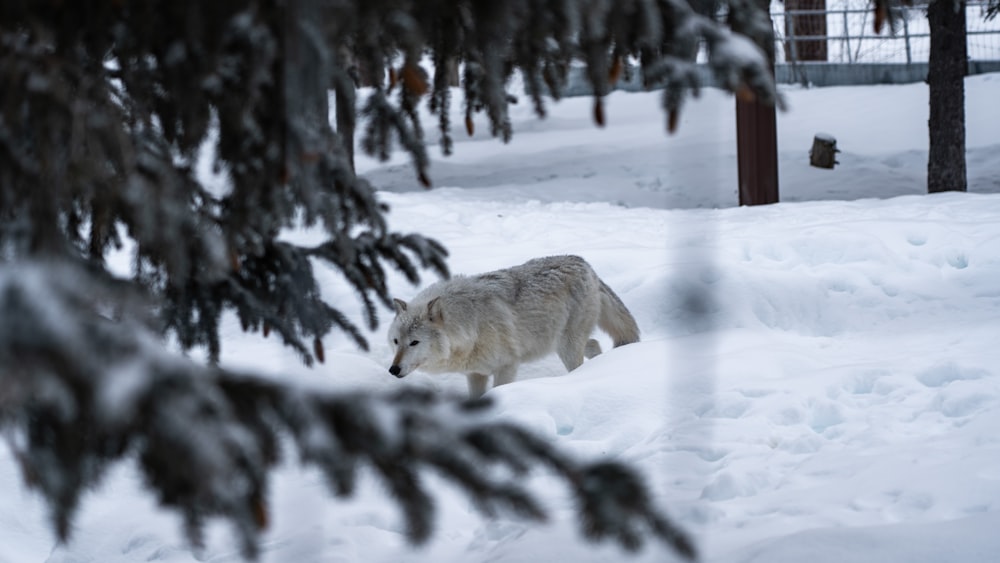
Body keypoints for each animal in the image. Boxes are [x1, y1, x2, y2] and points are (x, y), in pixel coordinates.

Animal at [386, 258, 636, 398]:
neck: (470, 324)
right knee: (594, 344)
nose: (393, 370)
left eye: (414, 342)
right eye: (396, 342)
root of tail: (585, 264)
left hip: (567, 346)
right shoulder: (475, 373)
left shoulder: (506, 366)